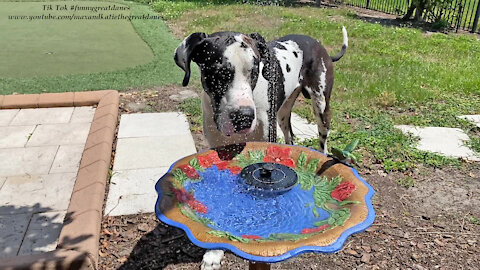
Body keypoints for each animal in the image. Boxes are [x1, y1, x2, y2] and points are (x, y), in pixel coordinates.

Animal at [174, 26, 346, 268]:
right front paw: (215, 250)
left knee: (322, 143)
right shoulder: (219, 153)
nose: (244, 117)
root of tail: (316, 42)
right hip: (283, 113)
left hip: (321, 106)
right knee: (290, 137)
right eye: (218, 72)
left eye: (254, 71)